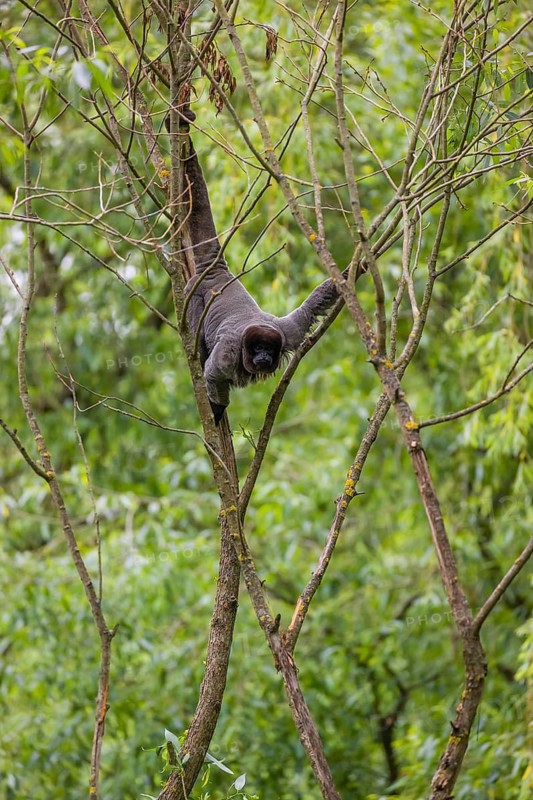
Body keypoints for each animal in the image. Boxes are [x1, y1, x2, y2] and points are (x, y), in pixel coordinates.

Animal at [177, 109, 347, 424]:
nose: (264, 357)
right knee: (199, 348)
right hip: (192, 294)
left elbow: (312, 306)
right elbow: (212, 374)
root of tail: (217, 272)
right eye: (257, 348)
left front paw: (355, 268)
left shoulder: (288, 331)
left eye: (269, 348)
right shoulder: (228, 354)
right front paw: (217, 410)